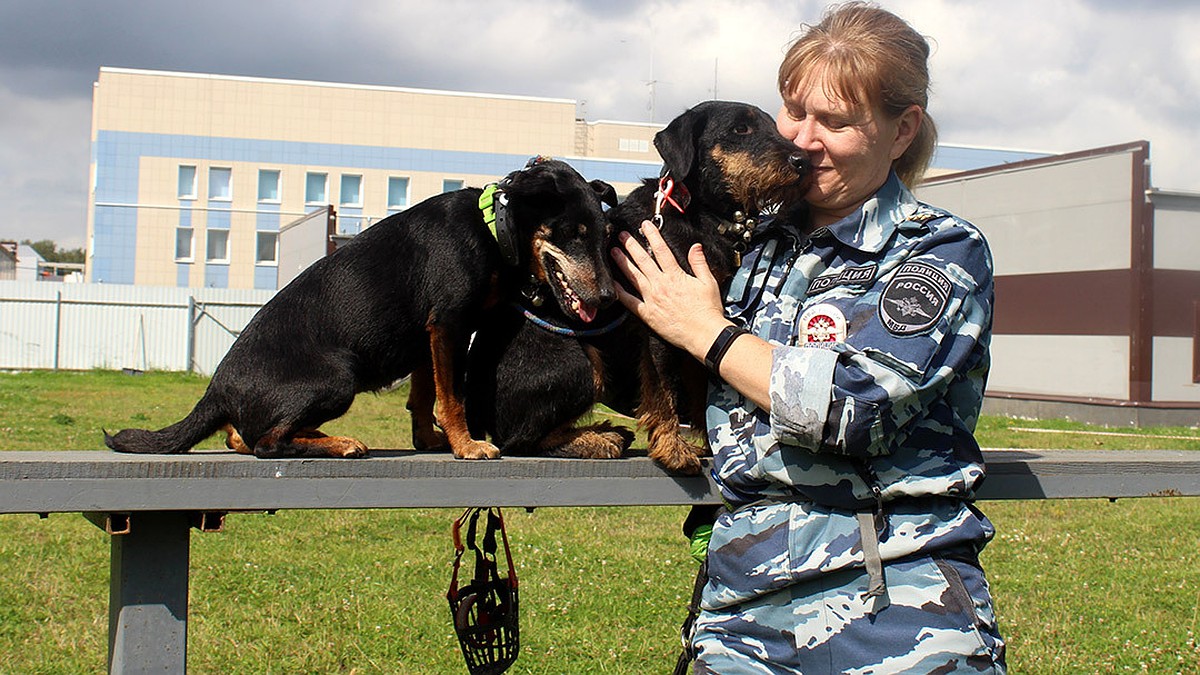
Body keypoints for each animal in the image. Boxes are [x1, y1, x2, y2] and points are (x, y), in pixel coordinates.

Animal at [103, 157, 619, 458]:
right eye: (574, 234)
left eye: (602, 235)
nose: (608, 297)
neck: (494, 229)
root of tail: (217, 390)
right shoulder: (448, 323)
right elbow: (450, 397)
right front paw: (466, 445)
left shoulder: (427, 335)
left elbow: (423, 395)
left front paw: (429, 441)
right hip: (338, 377)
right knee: (267, 443)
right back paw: (339, 443)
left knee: (243, 436)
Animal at [463, 102, 811, 470]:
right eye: (740, 129)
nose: (802, 162)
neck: (699, 214)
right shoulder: (660, 324)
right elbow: (663, 388)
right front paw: (673, 449)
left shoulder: (700, 324)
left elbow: (699, 385)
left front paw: (705, 444)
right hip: (580, 364)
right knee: (518, 439)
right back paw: (597, 439)